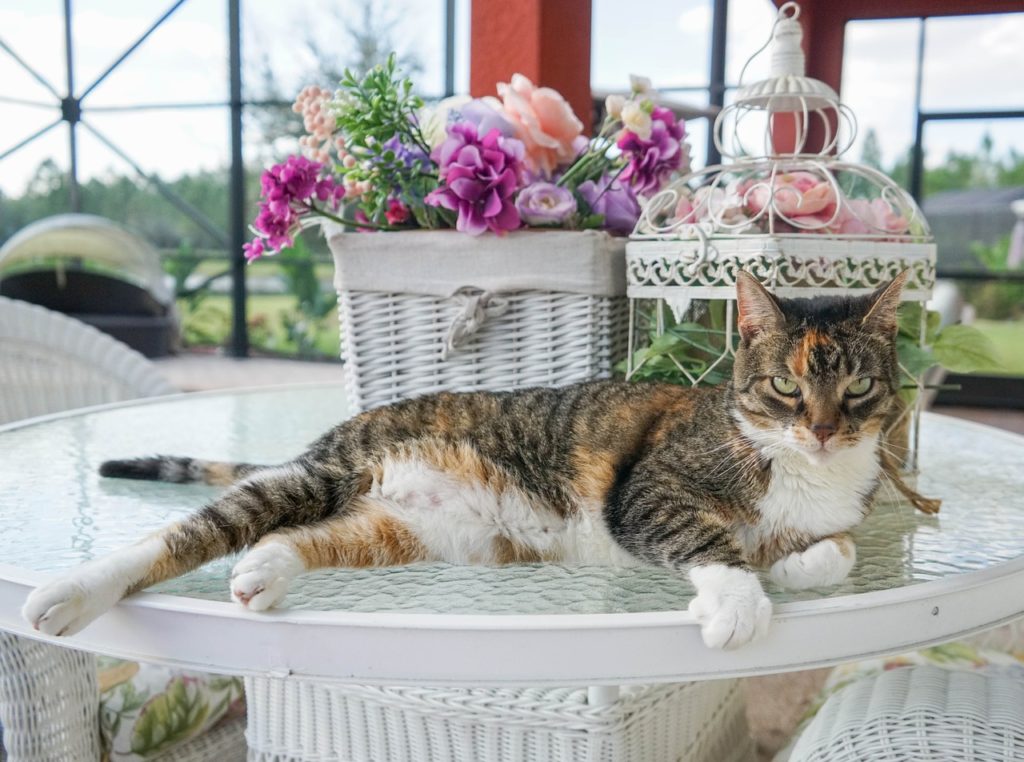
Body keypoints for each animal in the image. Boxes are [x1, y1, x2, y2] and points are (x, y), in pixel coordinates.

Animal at [22, 270, 905, 651]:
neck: (803, 470)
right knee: (183, 534)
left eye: (858, 385)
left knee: (300, 536)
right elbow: (709, 539)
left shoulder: (837, 515)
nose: (824, 430)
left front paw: (794, 565)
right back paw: (66, 593)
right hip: (331, 474)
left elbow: (838, 550)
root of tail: (344, 430)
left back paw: (264, 571)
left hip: (416, 533)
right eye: (787, 386)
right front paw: (740, 599)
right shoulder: (650, 488)